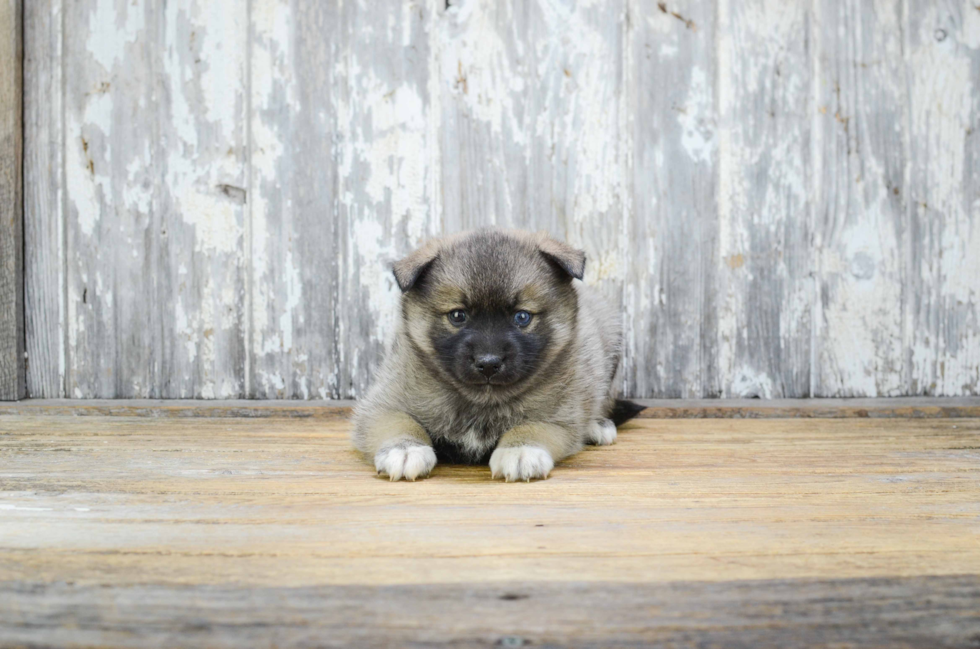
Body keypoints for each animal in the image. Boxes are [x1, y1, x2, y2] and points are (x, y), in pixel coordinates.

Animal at [352, 229, 644, 480]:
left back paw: (596, 425)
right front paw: (404, 449)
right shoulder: (381, 404)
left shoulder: (560, 416)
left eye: (522, 317)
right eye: (457, 316)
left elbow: (532, 425)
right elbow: (398, 421)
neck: (482, 400)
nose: (488, 363)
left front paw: (520, 450)